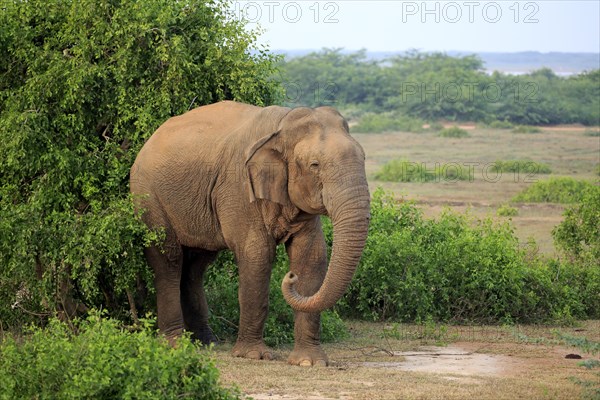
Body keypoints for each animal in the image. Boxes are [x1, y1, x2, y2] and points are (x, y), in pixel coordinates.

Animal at [131, 100, 370, 366]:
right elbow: (257, 255)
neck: (282, 126)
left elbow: (311, 257)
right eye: (314, 165)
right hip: (147, 197)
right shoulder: (238, 188)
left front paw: (309, 362)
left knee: (196, 266)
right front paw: (254, 355)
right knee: (169, 260)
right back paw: (174, 344)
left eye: (364, 158)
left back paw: (206, 342)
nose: (290, 277)